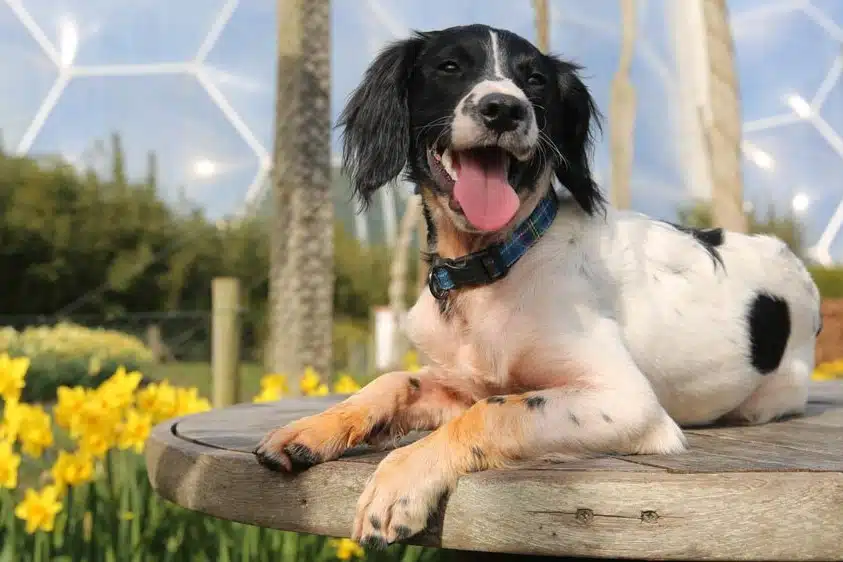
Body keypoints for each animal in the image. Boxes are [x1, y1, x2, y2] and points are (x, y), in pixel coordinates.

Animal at [254, 24, 820, 544]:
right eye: (449, 67)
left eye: (535, 80)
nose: (504, 109)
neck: (494, 265)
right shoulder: (463, 382)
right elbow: (398, 381)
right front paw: (314, 428)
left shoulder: (628, 401)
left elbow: (492, 412)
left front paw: (401, 482)